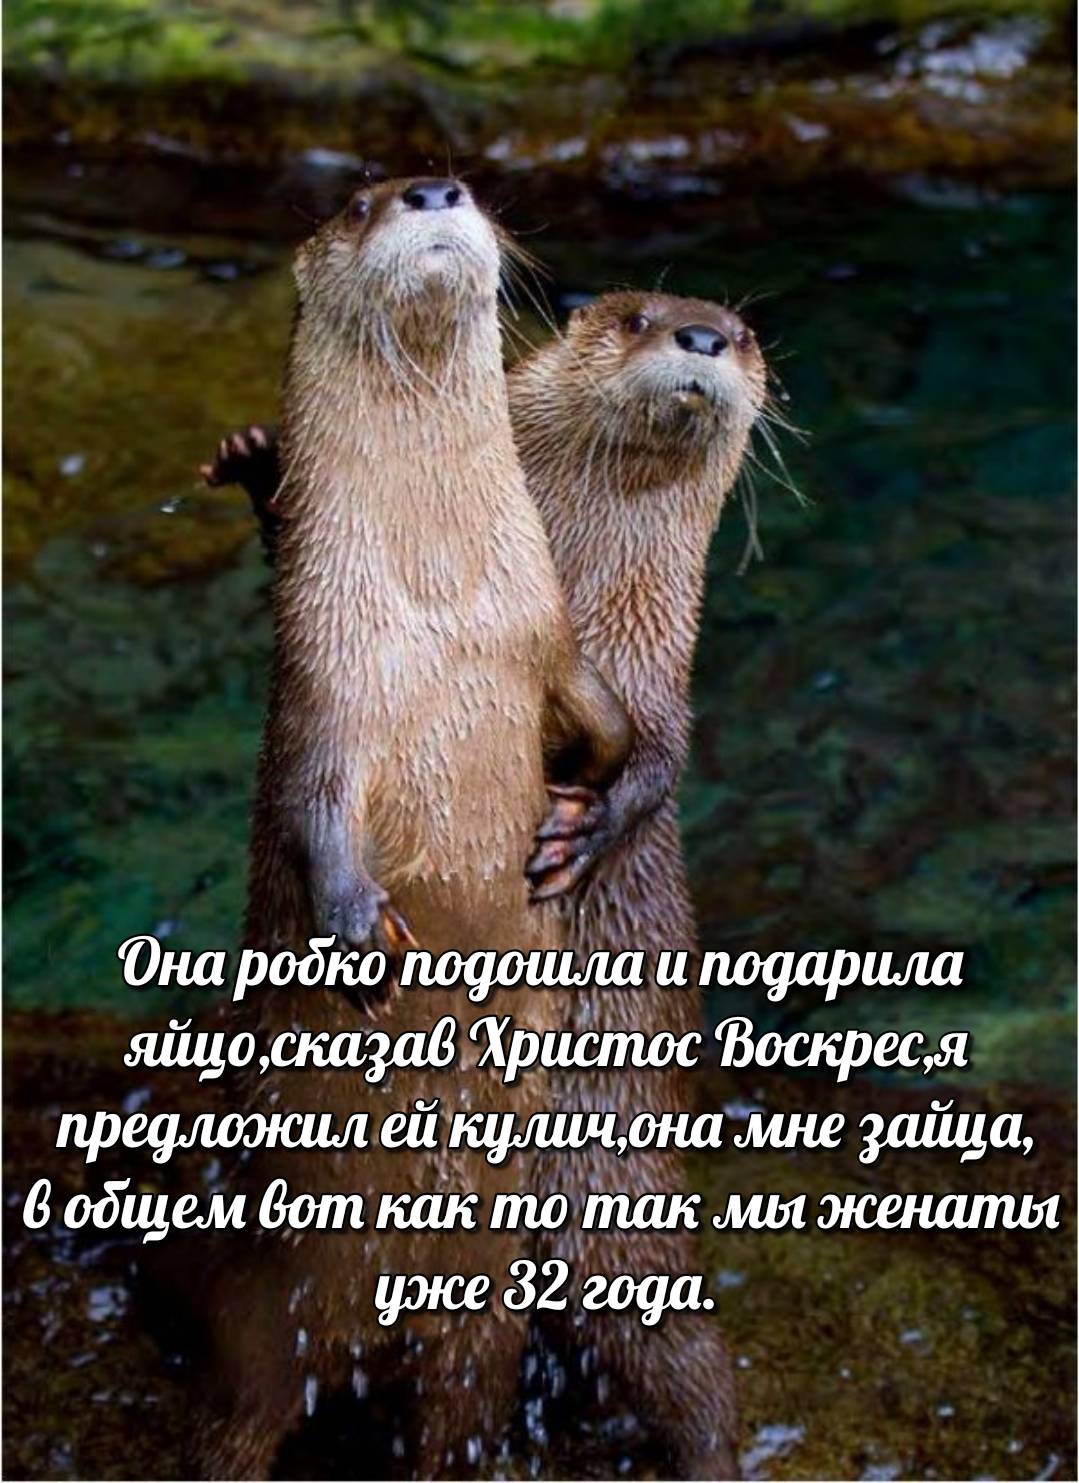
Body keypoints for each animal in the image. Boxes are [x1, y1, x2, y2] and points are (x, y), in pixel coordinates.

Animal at [190, 179, 632, 1481]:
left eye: (460, 181)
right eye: (358, 199)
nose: (434, 192)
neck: (441, 607)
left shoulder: (544, 638)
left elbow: (607, 725)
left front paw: (579, 827)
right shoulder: (328, 675)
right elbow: (314, 809)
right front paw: (355, 932)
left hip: (480, 1332)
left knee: (458, 1411)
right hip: (259, 1327)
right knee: (238, 1411)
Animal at [205, 290, 766, 1479]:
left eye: (742, 337)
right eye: (639, 316)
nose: (701, 339)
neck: (575, 572)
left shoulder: (649, 669)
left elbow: (657, 754)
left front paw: (584, 831)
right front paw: (257, 463)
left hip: (615, 1213)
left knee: (691, 1363)